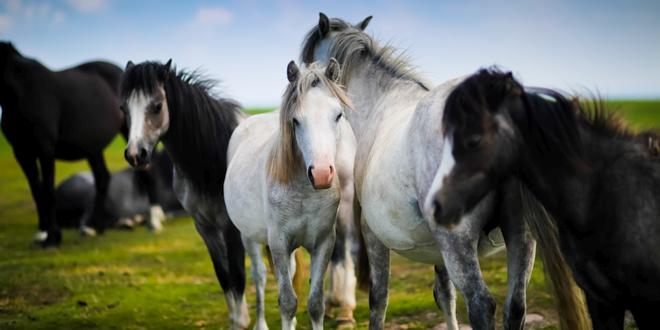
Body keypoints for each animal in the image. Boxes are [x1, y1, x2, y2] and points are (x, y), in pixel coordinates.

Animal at [0, 41, 124, 246]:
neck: (23, 92)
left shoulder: (45, 148)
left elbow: (48, 191)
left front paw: (53, 238)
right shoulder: (21, 151)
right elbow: (36, 191)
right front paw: (42, 232)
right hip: (93, 148)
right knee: (102, 178)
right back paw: (95, 227)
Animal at [223, 60, 358, 330]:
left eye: (338, 115)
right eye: (295, 120)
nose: (321, 174)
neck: (305, 193)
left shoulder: (323, 243)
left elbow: (315, 303)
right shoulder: (278, 243)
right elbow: (287, 301)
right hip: (249, 237)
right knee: (259, 276)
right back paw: (261, 324)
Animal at [302, 13, 540, 330]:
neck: (380, 102)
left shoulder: (373, 233)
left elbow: (378, 298)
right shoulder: (438, 250)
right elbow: (445, 295)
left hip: (458, 243)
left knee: (481, 304)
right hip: (520, 237)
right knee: (514, 307)